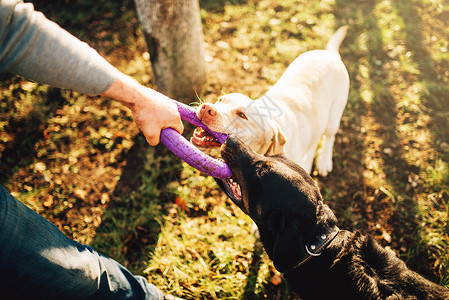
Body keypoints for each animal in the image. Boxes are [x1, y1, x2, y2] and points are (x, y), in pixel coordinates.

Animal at [192, 27, 350, 177]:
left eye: (242, 115)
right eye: (220, 100)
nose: (206, 108)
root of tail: (330, 54)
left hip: (333, 117)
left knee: (329, 137)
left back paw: (324, 161)